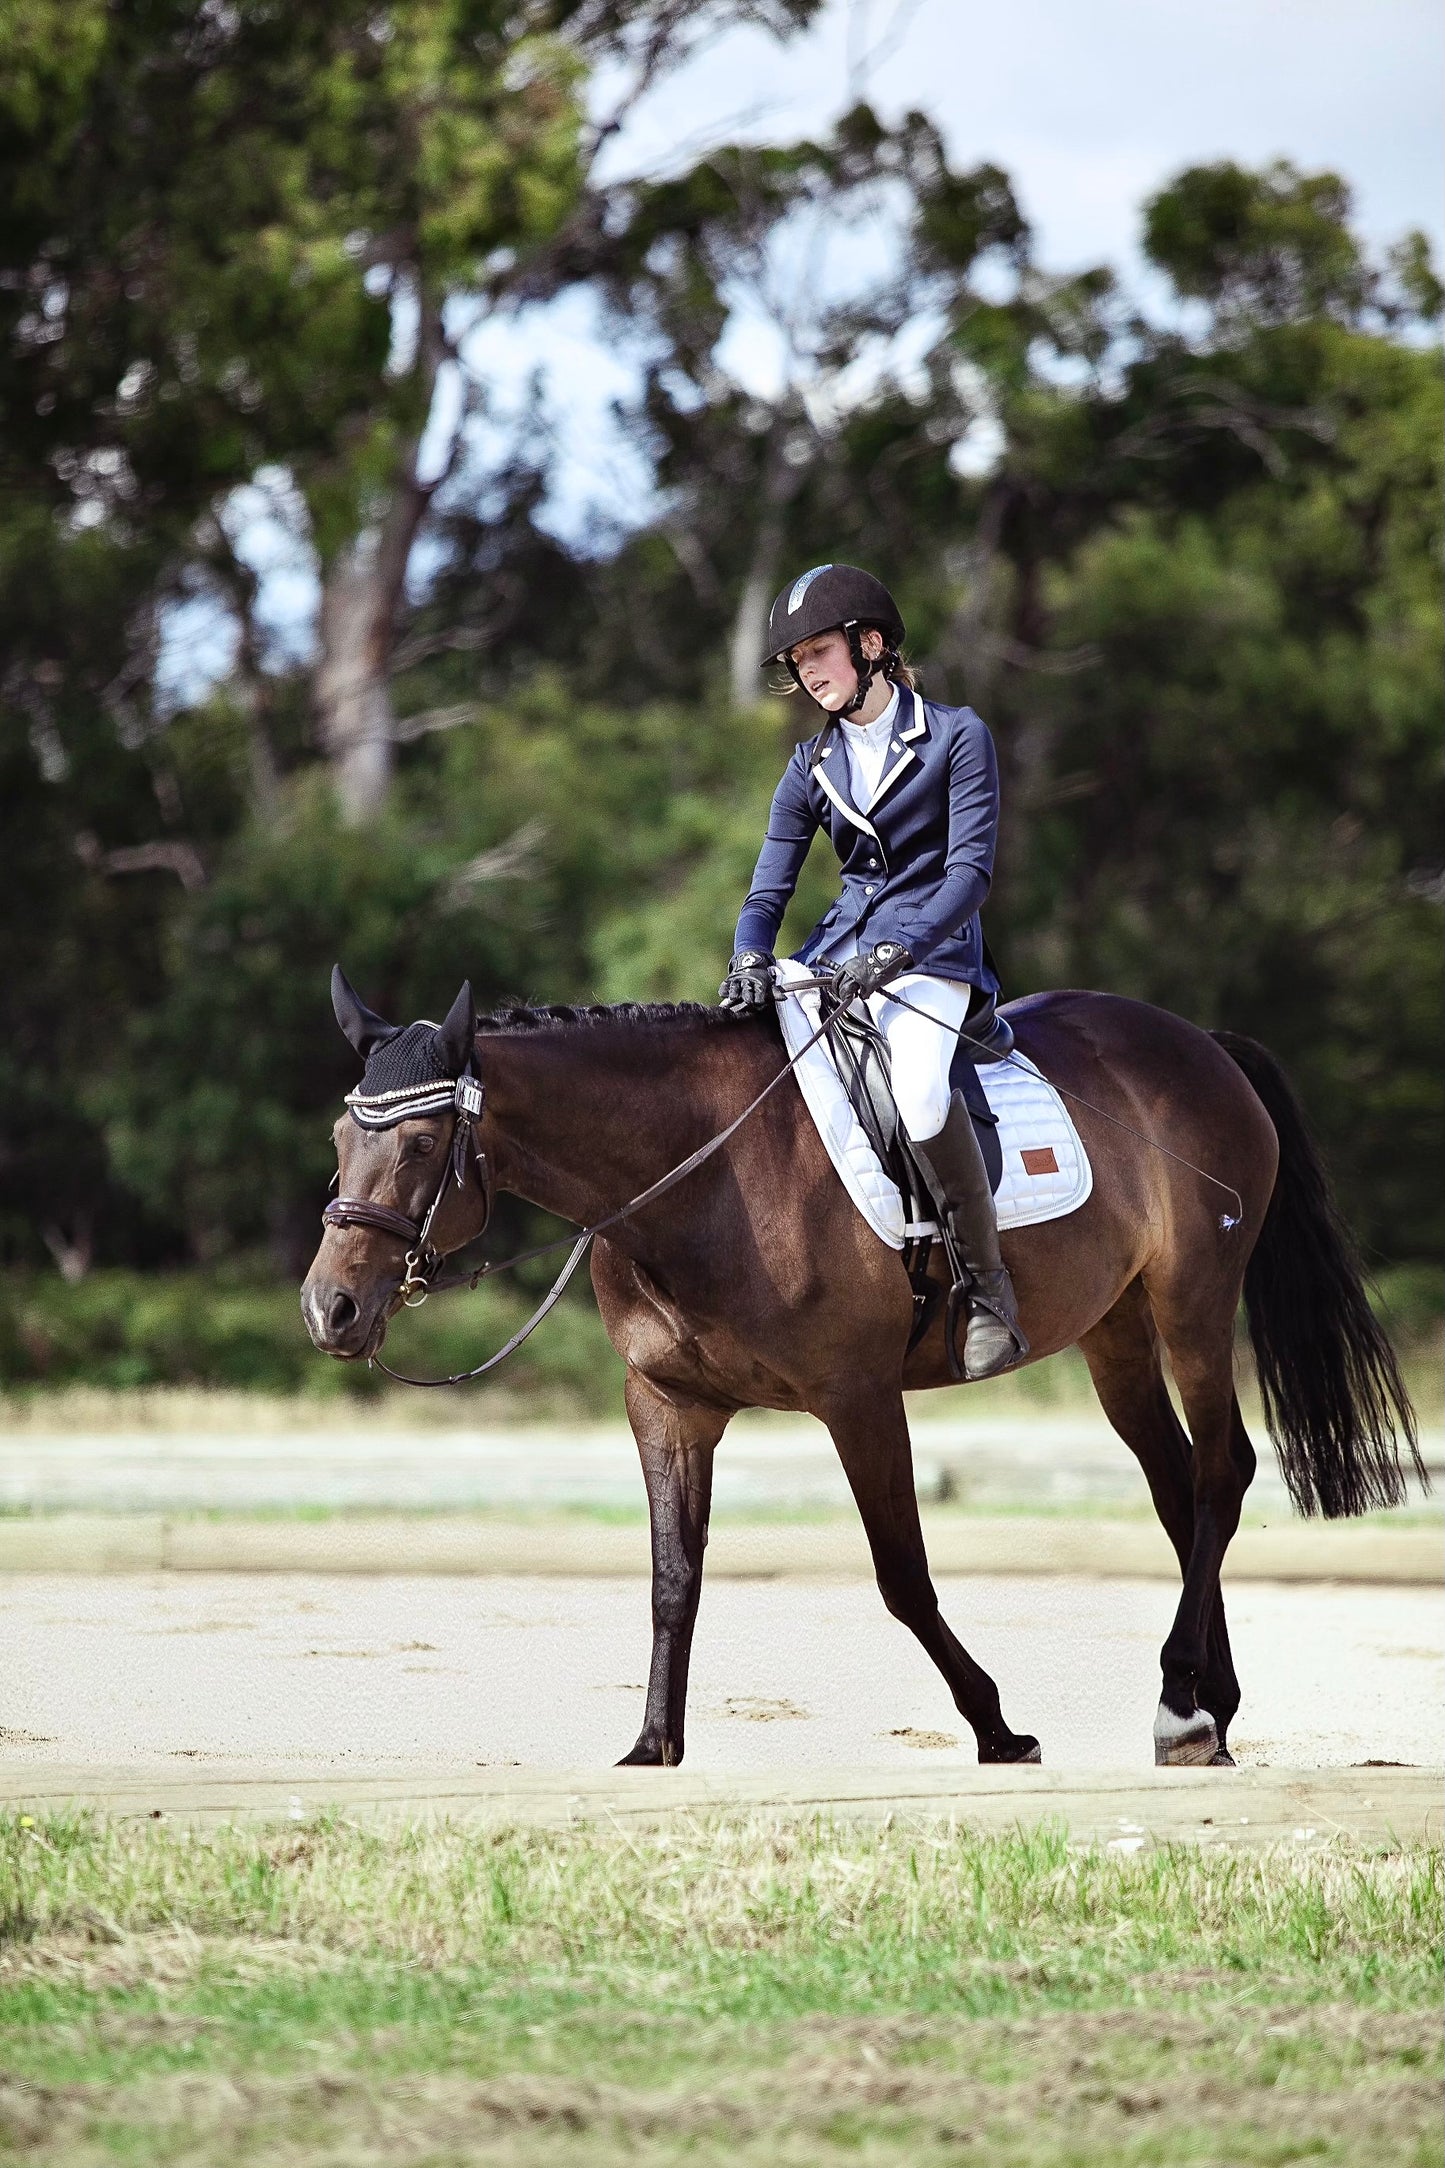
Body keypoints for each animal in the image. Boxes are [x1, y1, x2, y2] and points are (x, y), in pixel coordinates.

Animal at [298, 975, 1421, 1769]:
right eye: (341, 1134)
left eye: (422, 1145)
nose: (331, 1309)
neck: (698, 1176)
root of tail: (1195, 1042)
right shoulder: (666, 1405)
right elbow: (672, 1576)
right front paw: (652, 1744)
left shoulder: (858, 1400)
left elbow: (901, 1576)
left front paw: (997, 1728)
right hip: (1112, 1330)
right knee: (1176, 1485)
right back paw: (1204, 1707)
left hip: (1191, 1301)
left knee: (1221, 1472)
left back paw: (1180, 1703)